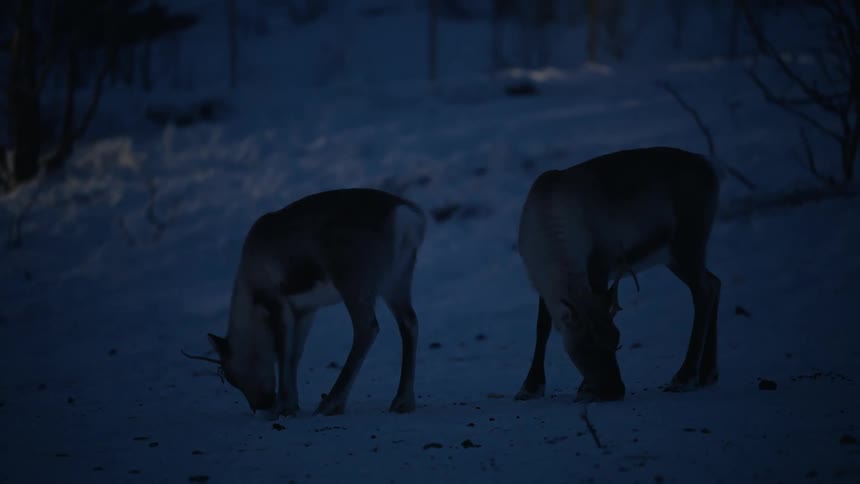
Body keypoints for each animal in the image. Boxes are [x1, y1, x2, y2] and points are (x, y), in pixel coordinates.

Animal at [182, 188, 427, 418]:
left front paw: (284, 406)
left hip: (354, 284)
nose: (261, 405)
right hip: (396, 281)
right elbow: (294, 354)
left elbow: (282, 352)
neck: (248, 291)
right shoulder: (305, 310)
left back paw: (332, 403)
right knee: (410, 323)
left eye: (233, 376)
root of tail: (406, 218)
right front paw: (291, 404)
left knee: (367, 328)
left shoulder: (278, 301)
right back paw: (403, 401)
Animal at [514, 146, 722, 403]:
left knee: (703, 292)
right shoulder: (540, 281)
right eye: (586, 347)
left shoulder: (599, 266)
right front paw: (531, 386)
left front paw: (583, 388)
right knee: (714, 282)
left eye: (616, 338)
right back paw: (708, 373)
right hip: (673, 257)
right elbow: (542, 326)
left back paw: (684, 377)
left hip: (687, 244)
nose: (615, 390)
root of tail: (710, 169)